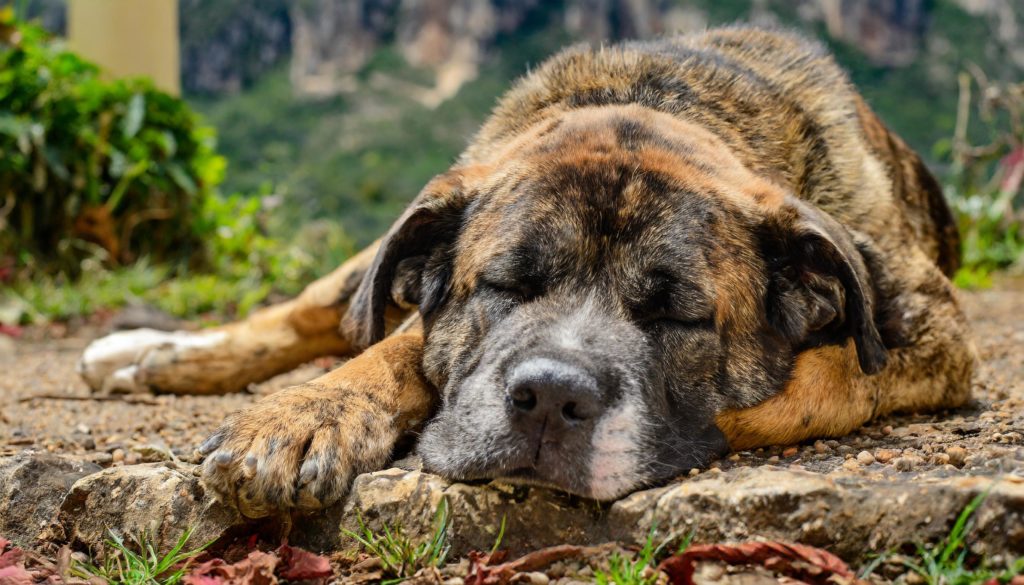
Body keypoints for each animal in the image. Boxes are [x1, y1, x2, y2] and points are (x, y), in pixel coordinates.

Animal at [77, 26, 974, 516]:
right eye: (507, 285)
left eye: (676, 316)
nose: (551, 397)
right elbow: (398, 344)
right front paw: (304, 413)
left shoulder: (930, 331)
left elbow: (815, 383)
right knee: (320, 309)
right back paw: (153, 353)